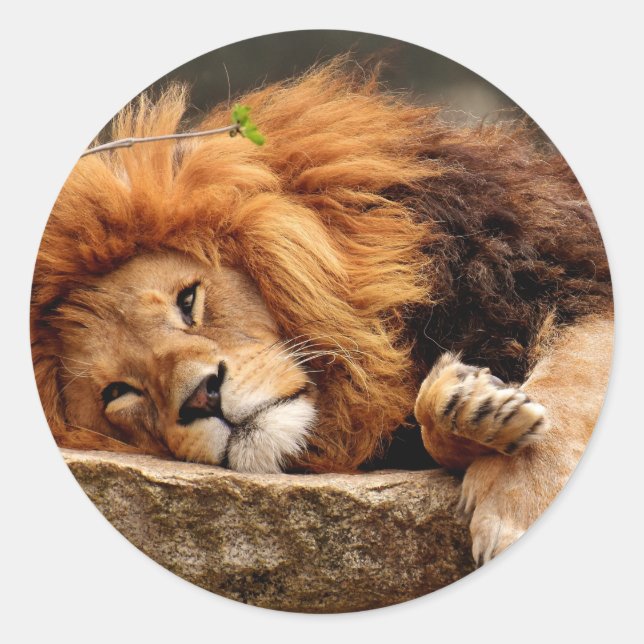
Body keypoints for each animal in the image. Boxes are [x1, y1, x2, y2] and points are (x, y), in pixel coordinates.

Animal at [31, 58, 613, 565]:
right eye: (118, 393)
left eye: (188, 301)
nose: (201, 398)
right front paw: (469, 407)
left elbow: (576, 373)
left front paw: (511, 501)